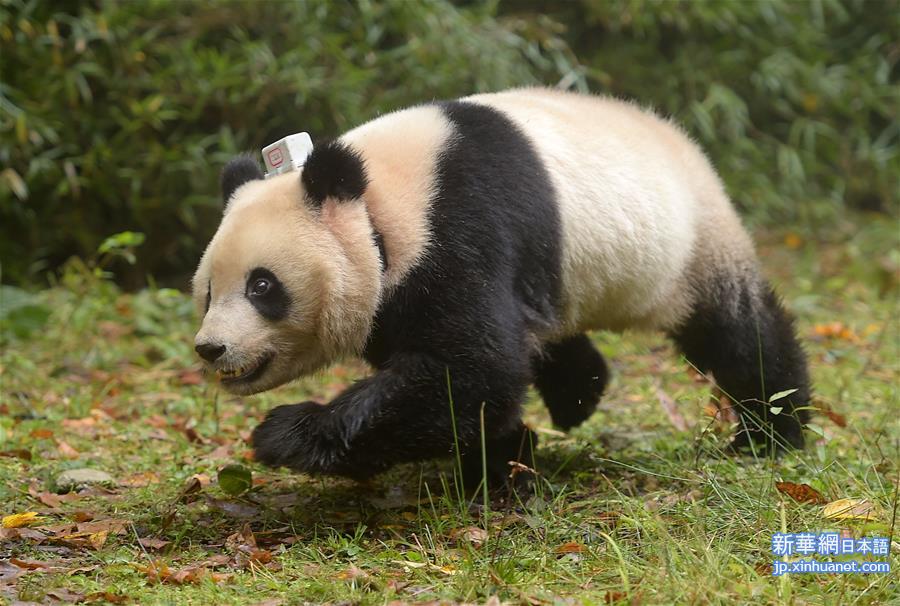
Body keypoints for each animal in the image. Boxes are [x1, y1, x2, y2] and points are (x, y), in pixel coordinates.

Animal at [193, 89, 812, 490]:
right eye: (207, 292)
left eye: (262, 285)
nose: (211, 348)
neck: (379, 205)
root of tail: (679, 136)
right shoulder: (395, 294)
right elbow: (470, 376)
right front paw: (504, 460)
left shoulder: (460, 228)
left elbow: (471, 371)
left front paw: (287, 434)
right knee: (542, 330)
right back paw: (578, 396)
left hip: (689, 241)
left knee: (736, 330)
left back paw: (771, 432)